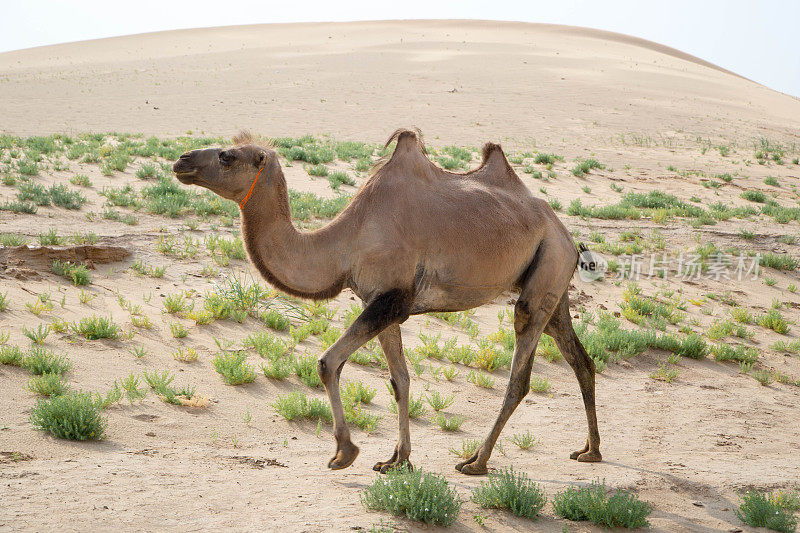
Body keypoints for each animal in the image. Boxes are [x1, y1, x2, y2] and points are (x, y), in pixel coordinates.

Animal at [175, 129, 600, 474]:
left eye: (227, 156)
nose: (181, 160)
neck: (344, 245)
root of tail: (564, 230)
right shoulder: (382, 302)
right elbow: (400, 379)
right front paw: (397, 459)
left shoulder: (391, 299)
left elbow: (327, 362)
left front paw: (344, 453)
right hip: (553, 282)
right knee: (580, 358)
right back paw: (590, 450)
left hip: (543, 275)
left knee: (520, 375)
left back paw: (477, 461)